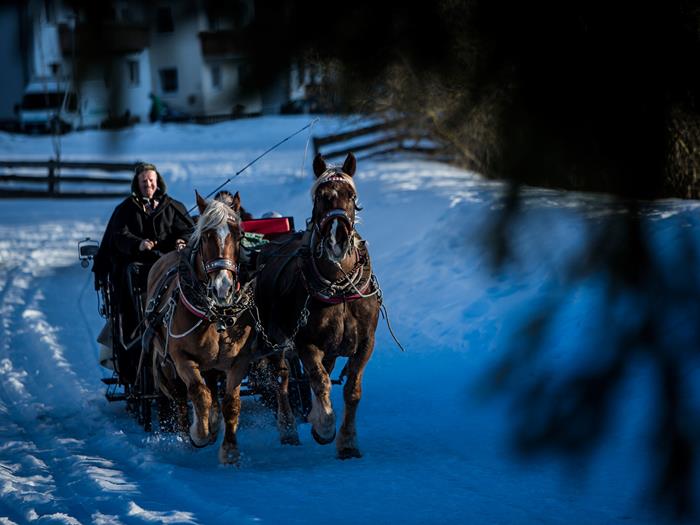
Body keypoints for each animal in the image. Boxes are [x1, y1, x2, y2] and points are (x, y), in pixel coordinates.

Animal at [146, 190, 256, 460]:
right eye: (206, 236)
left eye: (239, 235)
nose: (222, 288)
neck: (215, 315)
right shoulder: (181, 358)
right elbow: (198, 393)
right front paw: (200, 433)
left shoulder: (240, 360)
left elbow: (231, 403)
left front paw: (229, 450)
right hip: (165, 363)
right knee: (179, 396)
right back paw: (189, 434)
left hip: (212, 365)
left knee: (212, 387)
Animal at [254, 152, 380, 458]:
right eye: (321, 196)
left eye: (351, 195)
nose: (337, 238)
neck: (340, 287)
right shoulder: (306, 343)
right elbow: (320, 381)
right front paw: (324, 427)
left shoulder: (365, 342)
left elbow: (352, 390)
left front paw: (348, 442)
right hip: (273, 341)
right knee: (282, 380)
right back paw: (288, 429)